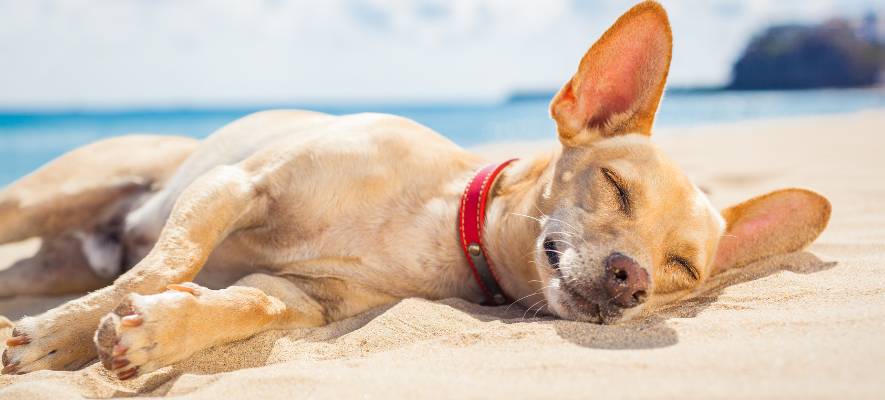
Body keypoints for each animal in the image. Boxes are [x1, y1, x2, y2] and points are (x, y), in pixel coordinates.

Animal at [0, 0, 828, 382]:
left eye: (683, 268)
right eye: (616, 186)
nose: (632, 279)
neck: (436, 219)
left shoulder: (305, 297)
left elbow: (243, 305)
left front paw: (157, 333)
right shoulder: (236, 184)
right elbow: (163, 265)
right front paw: (57, 335)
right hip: (45, 200)